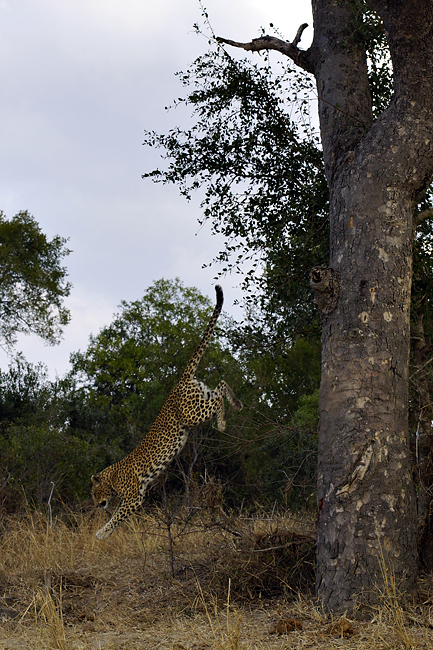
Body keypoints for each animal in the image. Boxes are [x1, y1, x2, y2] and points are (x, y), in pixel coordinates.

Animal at [90, 284, 241, 536]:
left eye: (94, 493)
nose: (95, 505)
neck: (113, 477)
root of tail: (180, 382)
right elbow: (118, 515)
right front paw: (104, 531)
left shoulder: (133, 498)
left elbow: (117, 516)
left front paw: (102, 533)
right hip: (200, 397)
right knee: (220, 384)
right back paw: (236, 403)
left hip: (192, 413)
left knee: (218, 398)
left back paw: (222, 422)